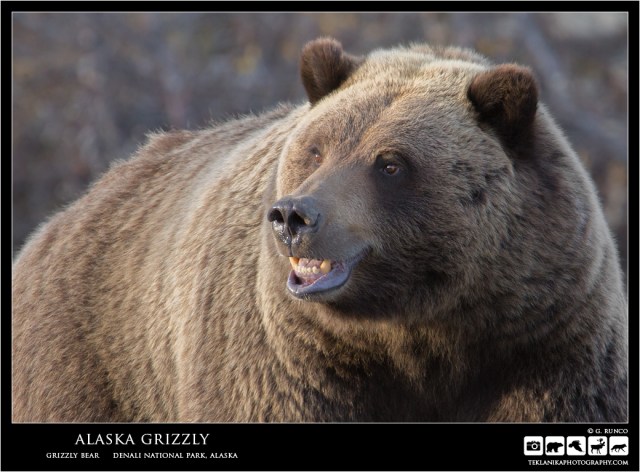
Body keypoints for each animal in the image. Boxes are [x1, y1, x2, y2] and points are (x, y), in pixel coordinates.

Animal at [12, 37, 627, 422]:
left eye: (390, 163)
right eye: (317, 147)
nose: (294, 216)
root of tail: (58, 221)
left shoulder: (542, 348)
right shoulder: (289, 368)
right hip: (92, 357)